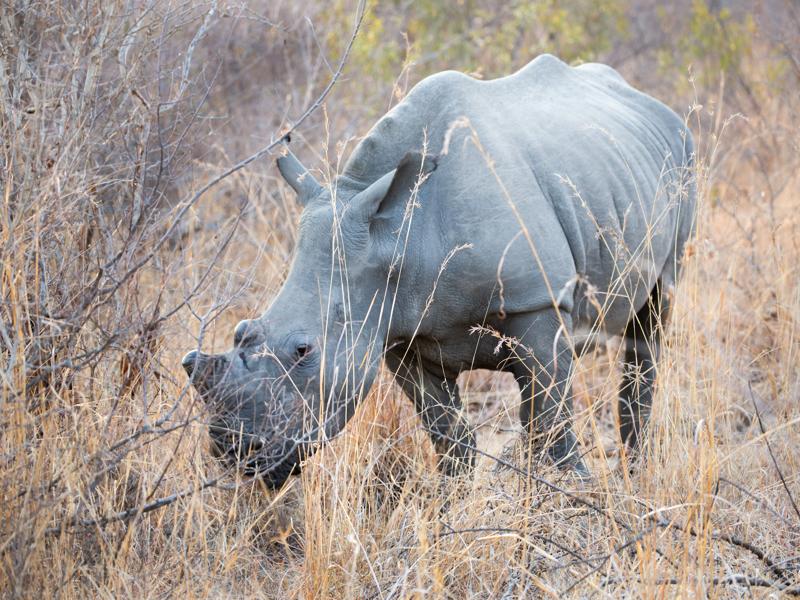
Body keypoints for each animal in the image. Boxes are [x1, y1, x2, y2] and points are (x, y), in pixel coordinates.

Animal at [182, 54, 696, 487]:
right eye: (241, 331)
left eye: (303, 350)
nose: (235, 452)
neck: (395, 236)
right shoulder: (395, 331)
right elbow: (449, 435)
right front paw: (453, 502)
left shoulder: (536, 301)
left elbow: (551, 426)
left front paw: (574, 495)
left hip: (681, 158)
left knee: (655, 315)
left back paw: (635, 470)